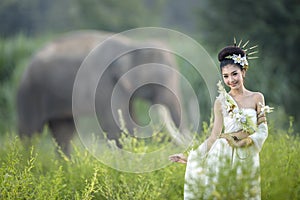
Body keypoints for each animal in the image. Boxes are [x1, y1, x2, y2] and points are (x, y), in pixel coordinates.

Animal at [17, 29, 182, 155]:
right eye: (158, 83)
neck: (132, 44)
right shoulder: (105, 84)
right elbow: (116, 124)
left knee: (63, 131)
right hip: (30, 92)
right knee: (29, 133)